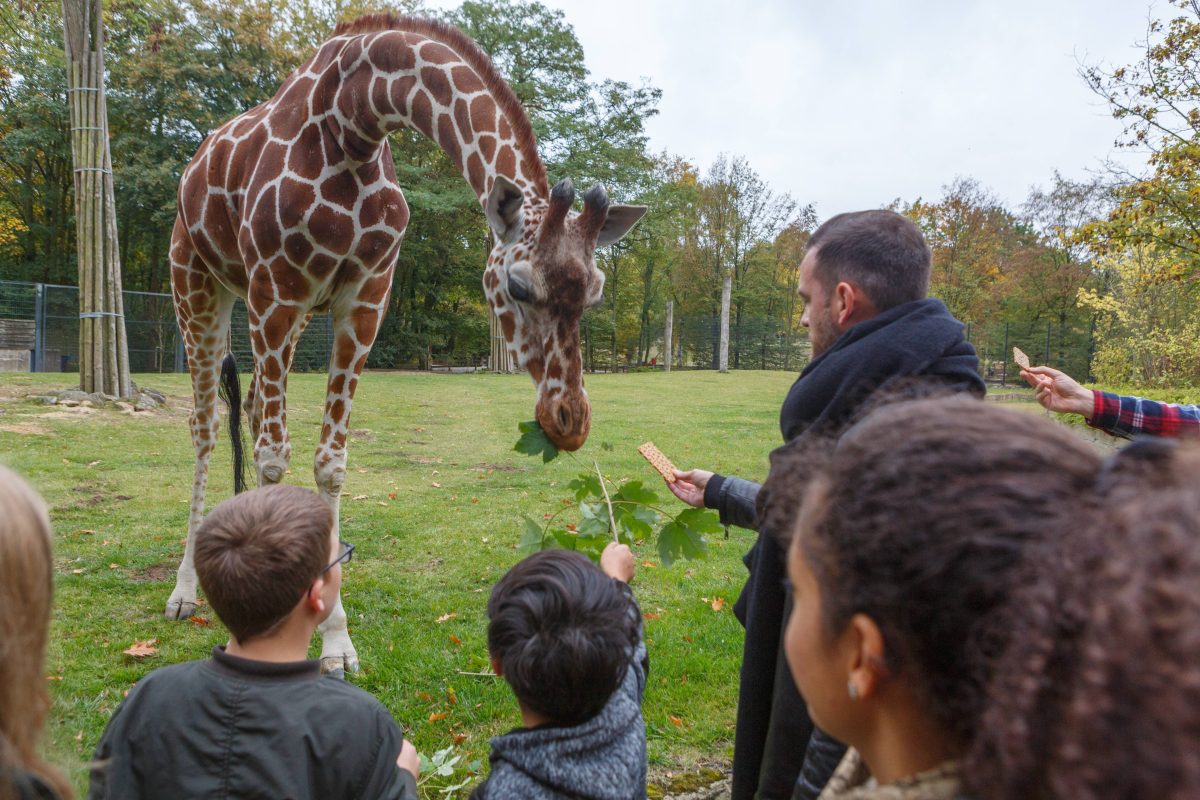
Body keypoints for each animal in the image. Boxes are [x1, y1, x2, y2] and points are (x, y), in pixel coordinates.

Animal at [168, 15, 648, 671]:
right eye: (517, 287)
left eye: (595, 292)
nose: (569, 420)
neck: (355, 121)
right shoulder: (275, 288)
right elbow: (272, 458)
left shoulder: (366, 299)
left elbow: (330, 464)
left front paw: (336, 640)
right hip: (199, 284)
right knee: (207, 427)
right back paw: (184, 590)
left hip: (286, 320)